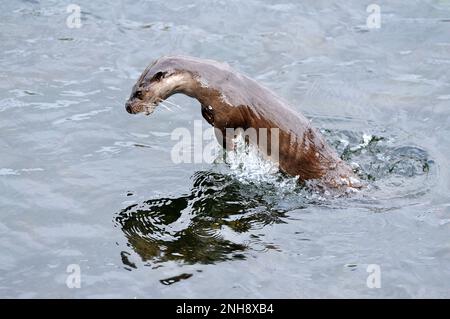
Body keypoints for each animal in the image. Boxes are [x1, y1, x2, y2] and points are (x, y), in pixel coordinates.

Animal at [125, 55, 360, 190]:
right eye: (131, 88)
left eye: (139, 93)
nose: (127, 106)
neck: (210, 82)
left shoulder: (228, 107)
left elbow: (228, 129)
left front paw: (231, 150)